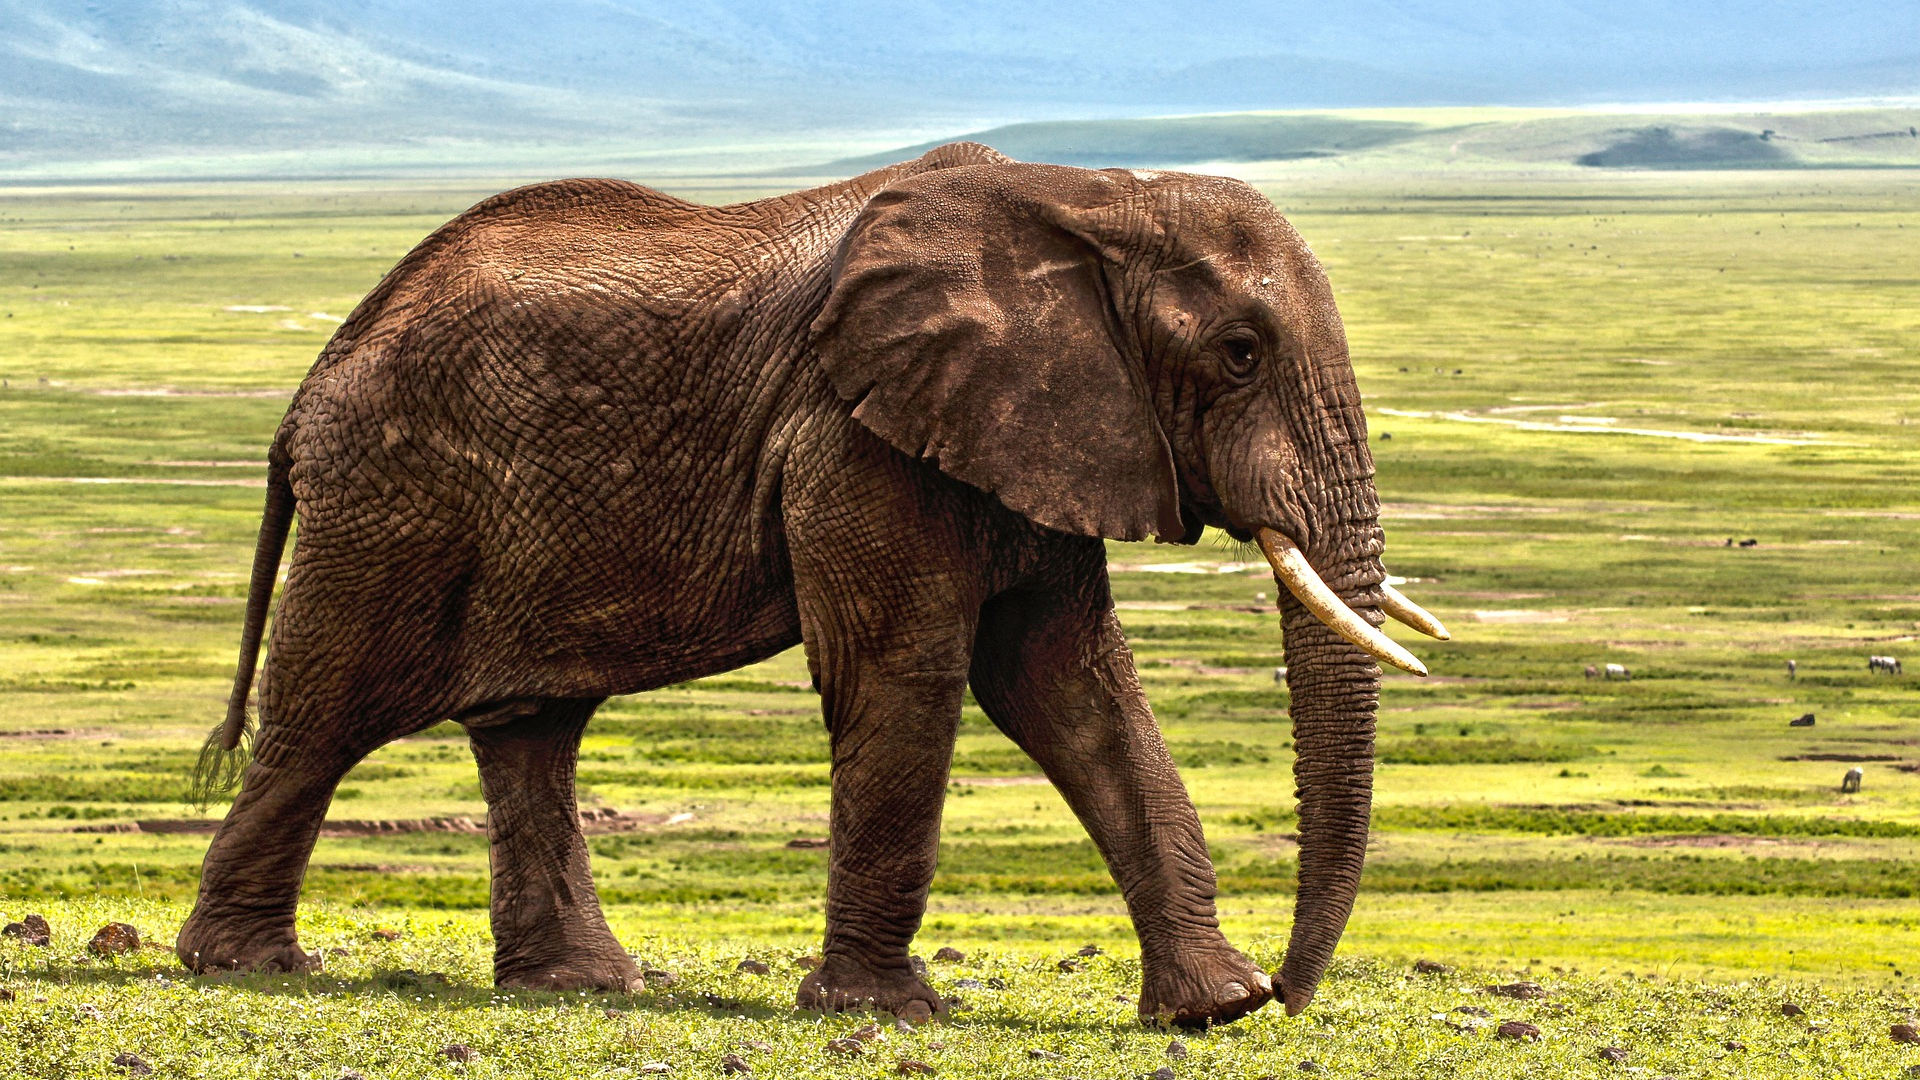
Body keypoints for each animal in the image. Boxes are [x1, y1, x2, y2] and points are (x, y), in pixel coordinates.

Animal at [174, 142, 1448, 1027]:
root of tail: (314, 379)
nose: (1291, 994)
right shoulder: (854, 436)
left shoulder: (1037, 431)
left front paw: (1211, 1010)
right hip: (391, 498)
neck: (1089, 196)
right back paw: (246, 967)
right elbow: (909, 673)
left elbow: (1071, 687)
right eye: (1239, 353)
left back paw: (581, 988)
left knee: (531, 728)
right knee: (325, 713)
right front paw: (889, 1013)